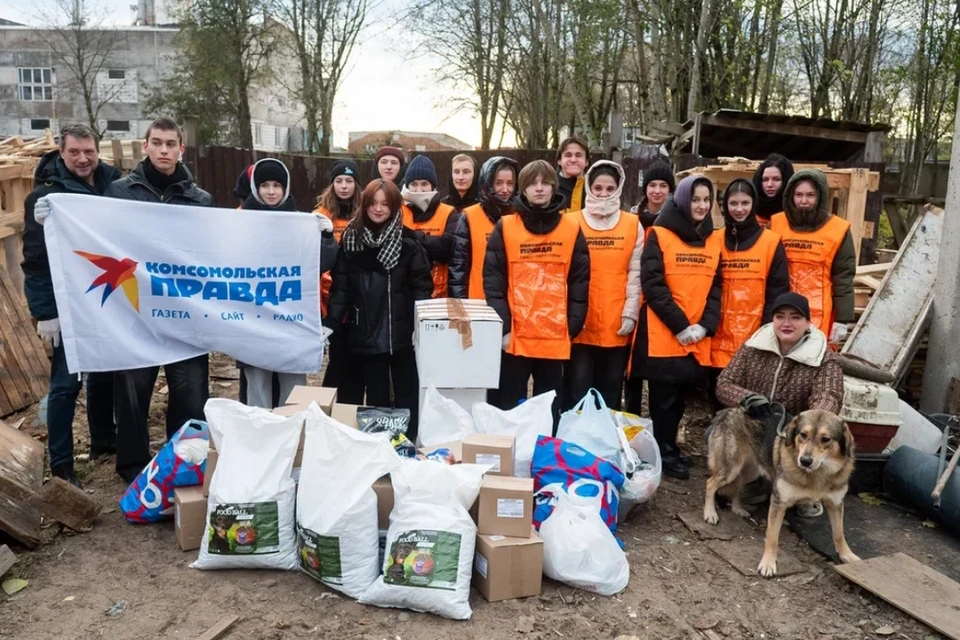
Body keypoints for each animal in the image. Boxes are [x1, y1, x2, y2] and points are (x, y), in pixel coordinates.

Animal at [700, 410, 860, 580]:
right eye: (803, 435)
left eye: (825, 439)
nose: (804, 461)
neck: (818, 475)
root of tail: (727, 411)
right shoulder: (779, 502)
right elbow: (772, 537)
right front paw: (768, 564)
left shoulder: (835, 504)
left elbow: (839, 534)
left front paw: (848, 556)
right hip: (730, 470)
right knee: (710, 483)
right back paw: (710, 513)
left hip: (750, 471)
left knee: (738, 485)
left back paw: (737, 508)